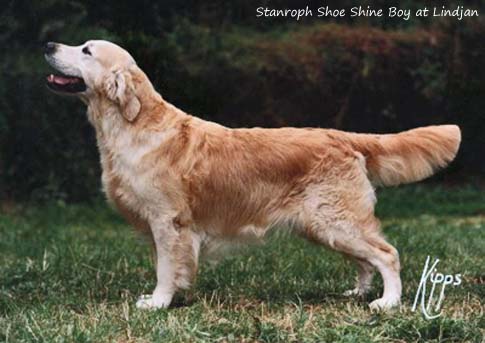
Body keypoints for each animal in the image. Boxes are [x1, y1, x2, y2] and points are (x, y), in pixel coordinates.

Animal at [45, 40, 462, 312]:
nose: (48, 43)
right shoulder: (160, 227)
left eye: (86, 50)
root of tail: (340, 135)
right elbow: (171, 267)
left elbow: (166, 268)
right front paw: (166, 297)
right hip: (326, 225)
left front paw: (159, 303)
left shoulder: (167, 221)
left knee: (386, 254)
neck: (132, 124)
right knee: (365, 260)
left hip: (336, 220)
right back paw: (358, 294)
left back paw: (387, 302)